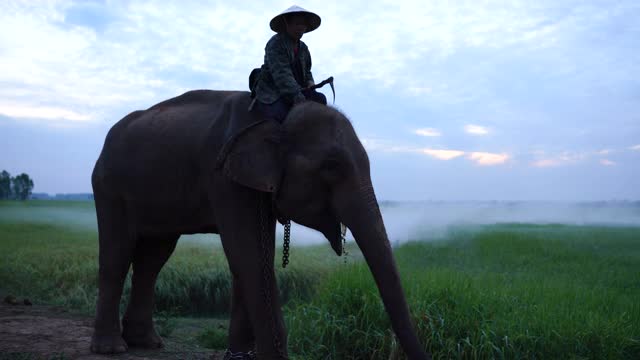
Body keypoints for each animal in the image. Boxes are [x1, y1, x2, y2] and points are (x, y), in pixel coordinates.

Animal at [90, 88, 430, 358]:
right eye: (332, 167)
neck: (277, 116)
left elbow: (253, 255)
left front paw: (242, 355)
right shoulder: (223, 176)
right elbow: (249, 253)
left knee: (153, 258)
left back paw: (146, 343)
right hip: (108, 185)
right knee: (117, 253)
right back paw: (112, 348)